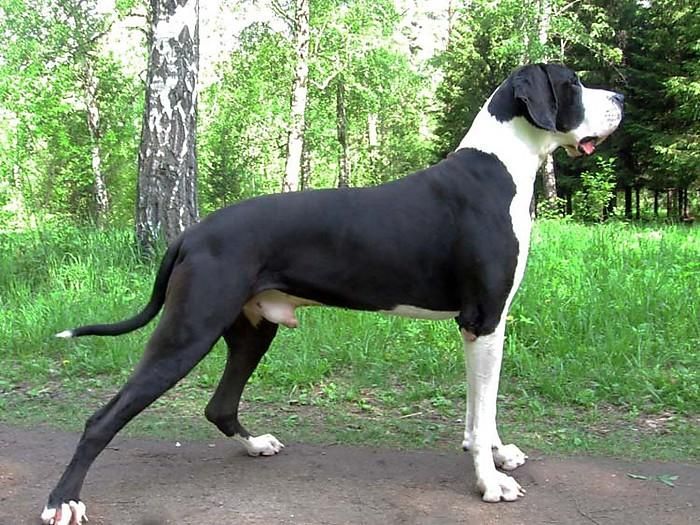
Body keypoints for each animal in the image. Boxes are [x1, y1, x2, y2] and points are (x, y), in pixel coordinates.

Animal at [42, 63, 623, 524]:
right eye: (573, 84)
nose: (620, 98)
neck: (500, 167)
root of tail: (191, 233)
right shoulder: (482, 319)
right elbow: (482, 417)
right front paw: (490, 482)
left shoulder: (486, 326)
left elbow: (483, 409)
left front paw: (497, 455)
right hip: (188, 331)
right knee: (102, 419)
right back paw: (62, 501)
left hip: (251, 329)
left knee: (220, 405)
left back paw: (255, 444)